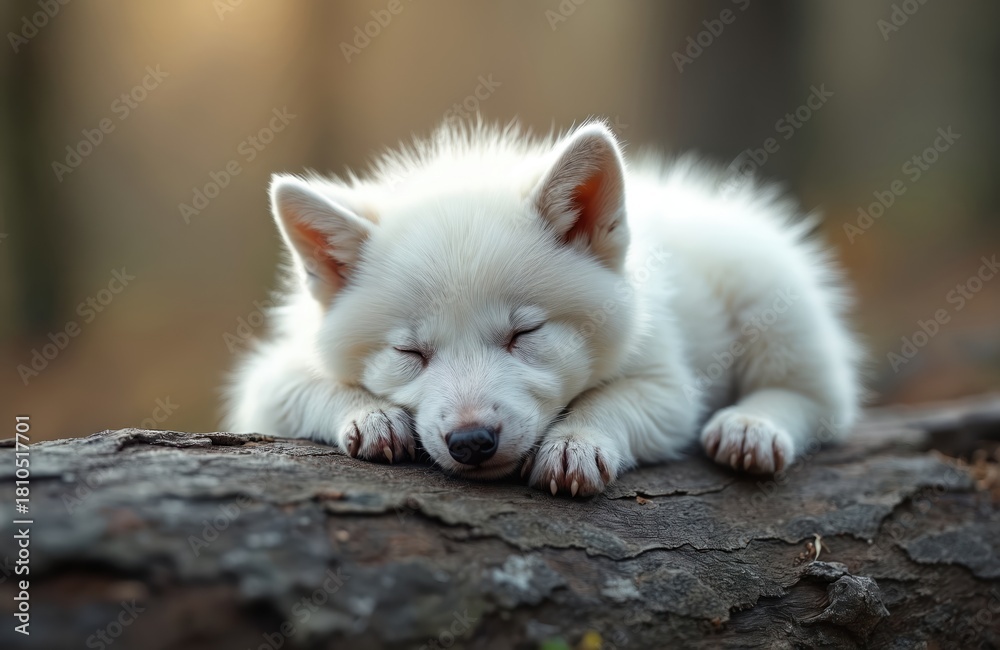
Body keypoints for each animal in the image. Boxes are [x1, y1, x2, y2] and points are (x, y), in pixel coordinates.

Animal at [224, 119, 862, 497]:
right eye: (410, 351)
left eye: (524, 334)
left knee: (820, 399)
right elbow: (304, 386)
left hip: (770, 293)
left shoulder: (668, 385)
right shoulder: (265, 383)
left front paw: (575, 442)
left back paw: (751, 427)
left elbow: (613, 401)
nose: (471, 442)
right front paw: (372, 415)